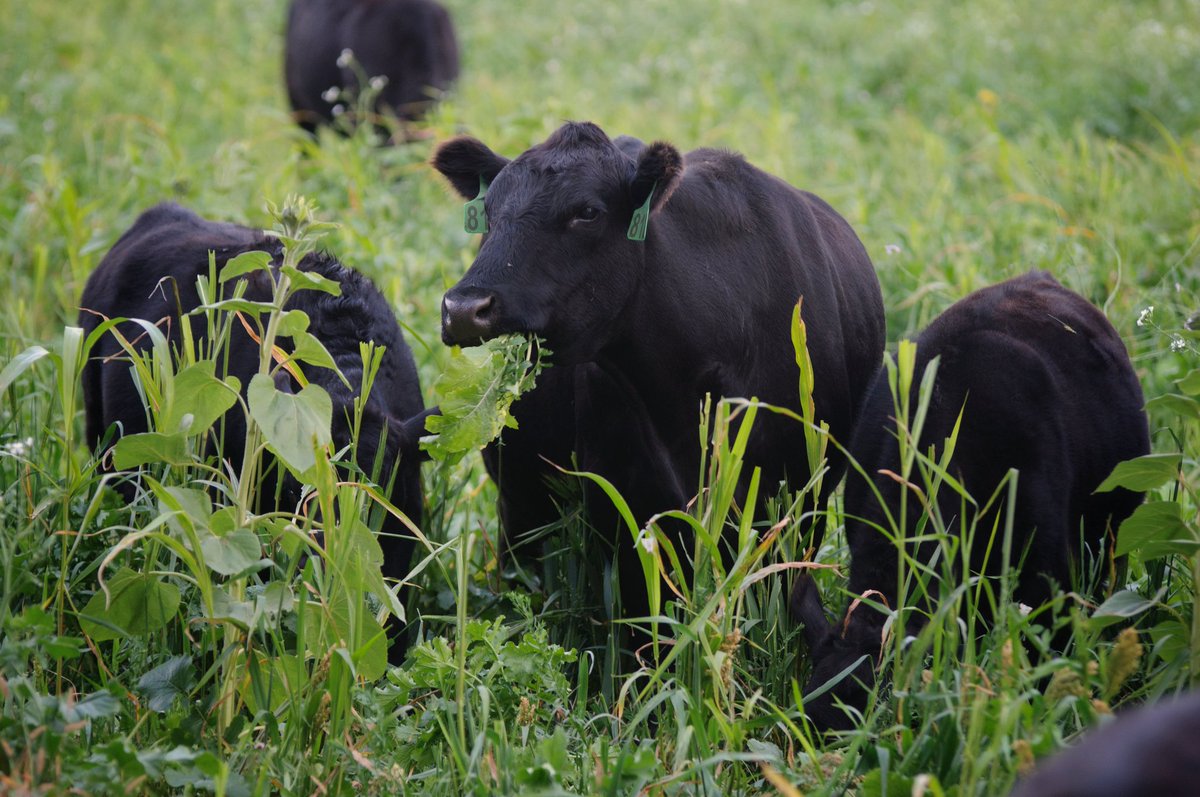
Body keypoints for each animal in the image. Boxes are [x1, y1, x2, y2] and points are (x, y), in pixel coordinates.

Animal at [432, 121, 886, 625]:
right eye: (488, 214)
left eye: (587, 212)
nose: (464, 308)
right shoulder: (624, 512)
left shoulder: (799, 500)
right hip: (519, 497)